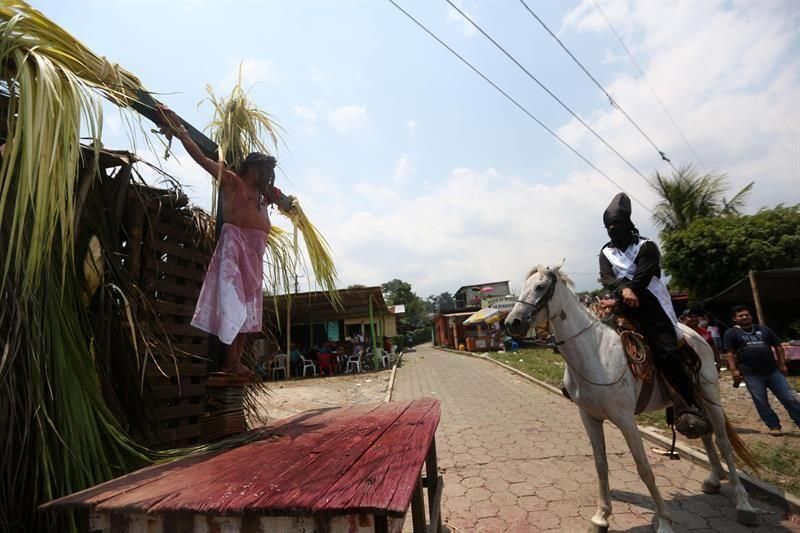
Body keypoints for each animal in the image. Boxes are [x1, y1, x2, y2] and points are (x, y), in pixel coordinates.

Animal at [506, 264, 756, 532]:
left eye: (540, 286)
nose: (512, 323)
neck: (594, 353)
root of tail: (696, 335)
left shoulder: (625, 419)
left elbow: (644, 468)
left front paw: (664, 521)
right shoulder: (589, 417)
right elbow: (601, 465)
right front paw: (601, 516)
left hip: (711, 396)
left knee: (722, 441)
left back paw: (744, 503)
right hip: (686, 400)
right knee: (703, 431)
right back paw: (713, 479)